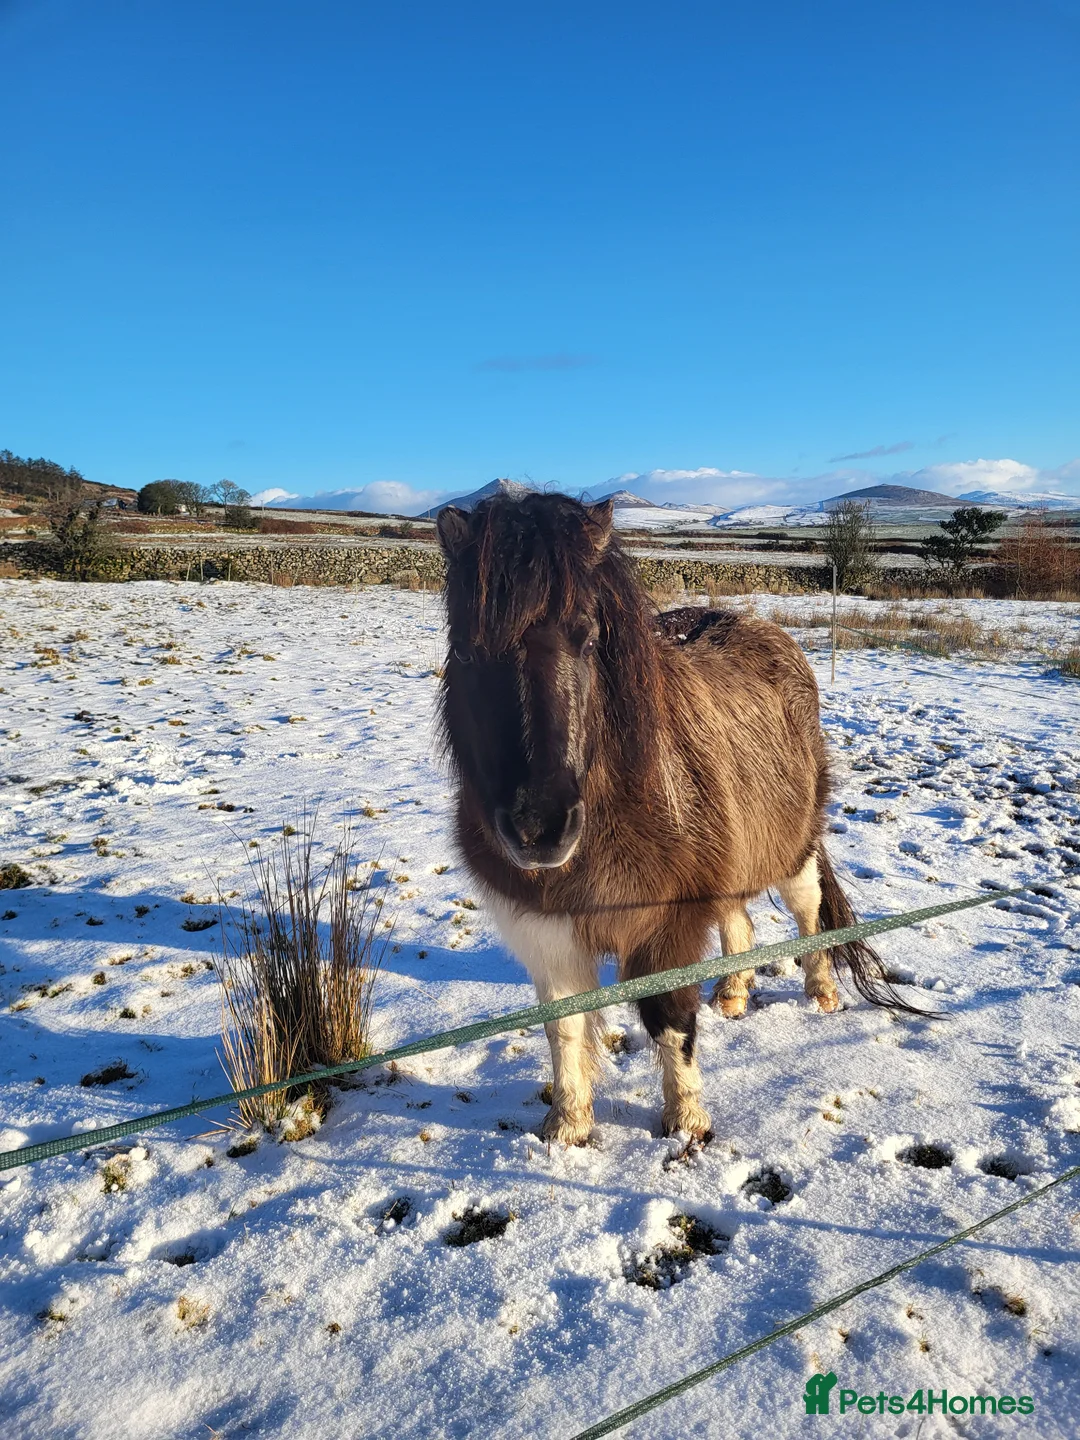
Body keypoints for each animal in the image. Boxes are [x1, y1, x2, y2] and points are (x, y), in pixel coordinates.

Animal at [436, 490, 906, 1146]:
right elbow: (563, 1026)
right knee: (739, 922)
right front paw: (566, 1128)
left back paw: (822, 994)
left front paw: (685, 1123)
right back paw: (733, 994)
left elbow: (669, 1020)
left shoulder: (667, 925)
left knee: (809, 914)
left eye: (587, 639)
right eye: (463, 650)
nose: (539, 827)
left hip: (793, 849)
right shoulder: (548, 929)